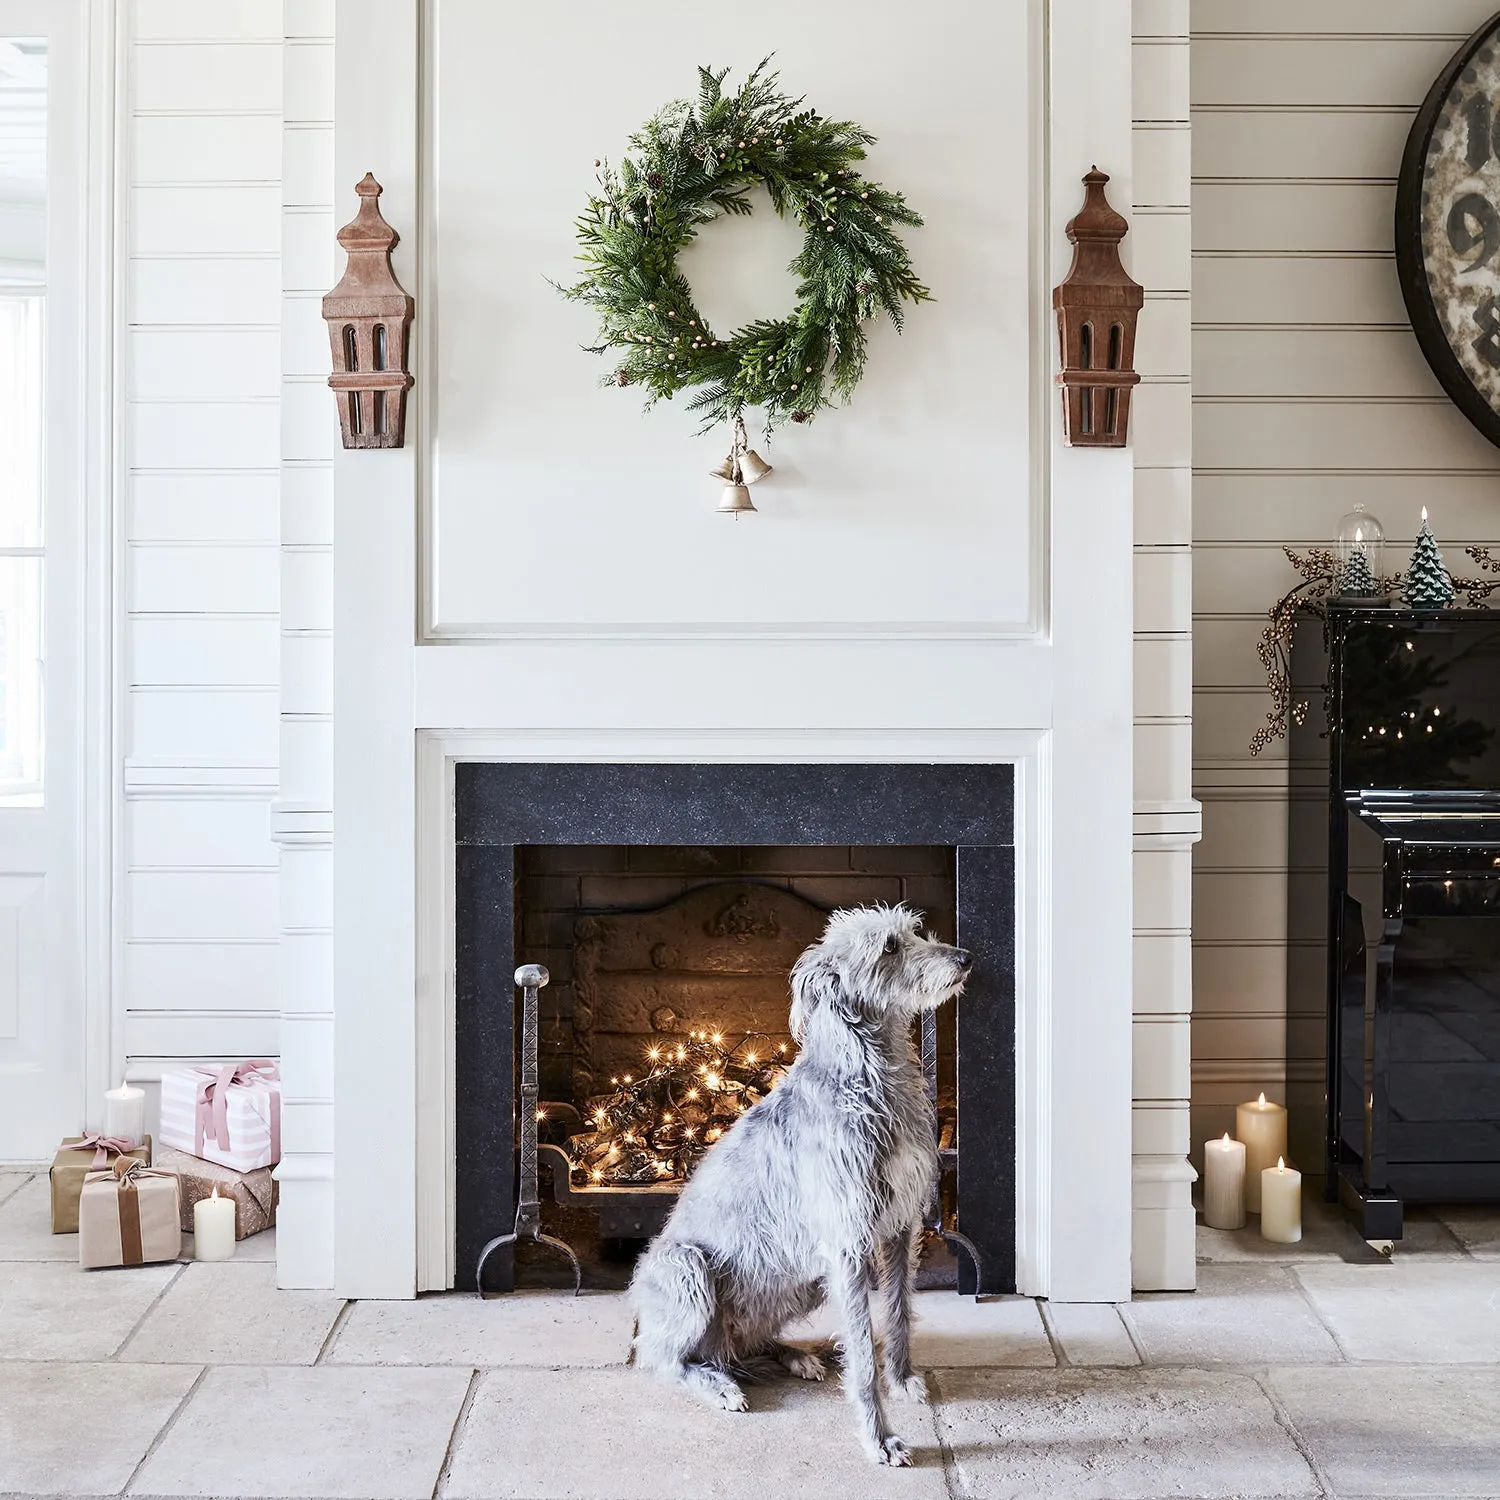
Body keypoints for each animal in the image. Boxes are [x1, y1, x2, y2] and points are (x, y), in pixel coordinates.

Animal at [630, 900, 972, 1464]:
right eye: (889, 946)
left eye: (915, 931)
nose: (965, 958)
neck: (870, 1077)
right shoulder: (847, 1243)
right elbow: (863, 1354)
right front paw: (880, 1438)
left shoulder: (899, 1229)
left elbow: (899, 1310)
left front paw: (901, 1379)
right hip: (686, 1268)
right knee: (664, 1360)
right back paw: (718, 1386)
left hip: (802, 1278)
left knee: (740, 1344)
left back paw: (794, 1356)